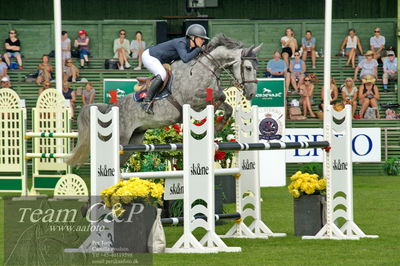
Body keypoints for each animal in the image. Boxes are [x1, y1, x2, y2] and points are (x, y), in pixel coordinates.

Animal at [68, 34, 262, 165]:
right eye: (248, 67)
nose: (251, 94)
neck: (206, 68)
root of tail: (110, 108)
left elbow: (227, 106)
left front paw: (219, 125)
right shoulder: (192, 100)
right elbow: (220, 96)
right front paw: (217, 123)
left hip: (134, 139)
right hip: (121, 138)